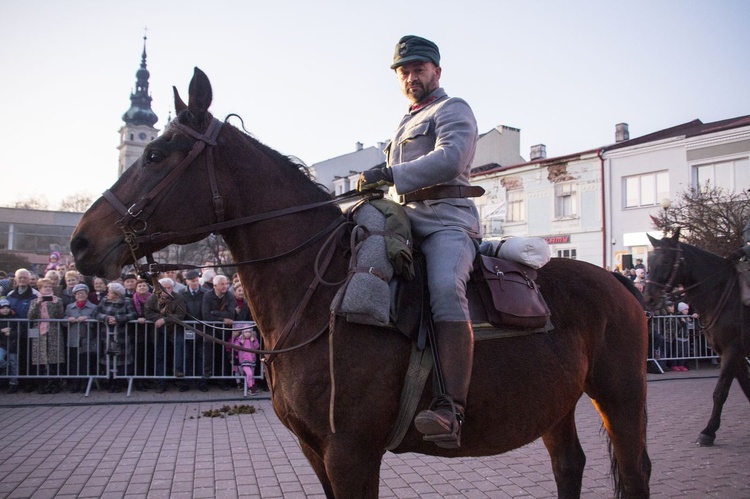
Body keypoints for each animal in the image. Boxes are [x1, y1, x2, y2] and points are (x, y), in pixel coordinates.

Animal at [70, 68, 652, 498]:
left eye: (155, 155)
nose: (81, 242)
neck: (317, 292)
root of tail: (619, 284)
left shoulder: (350, 454)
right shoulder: (316, 452)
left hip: (620, 397)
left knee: (635, 471)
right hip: (557, 403)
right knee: (569, 465)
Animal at [648, 232, 750, 448]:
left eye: (667, 260)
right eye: (649, 261)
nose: (648, 297)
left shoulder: (733, 350)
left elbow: (720, 391)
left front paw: (708, 432)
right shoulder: (732, 352)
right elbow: (746, 386)